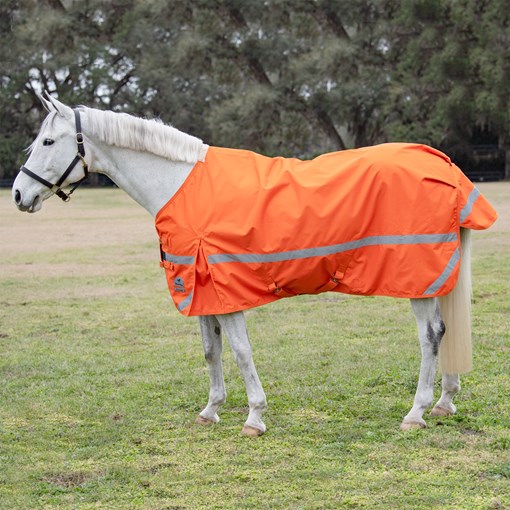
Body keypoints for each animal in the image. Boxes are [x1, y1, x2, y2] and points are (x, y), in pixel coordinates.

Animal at [12, 93, 474, 436]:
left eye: (48, 142)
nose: (18, 194)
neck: (179, 185)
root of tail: (442, 164)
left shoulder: (224, 288)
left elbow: (239, 350)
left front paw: (254, 416)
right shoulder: (200, 289)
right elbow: (210, 350)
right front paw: (211, 409)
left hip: (417, 280)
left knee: (430, 336)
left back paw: (416, 412)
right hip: (437, 279)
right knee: (445, 331)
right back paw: (444, 403)